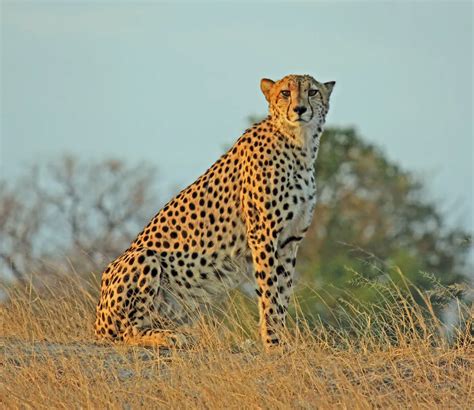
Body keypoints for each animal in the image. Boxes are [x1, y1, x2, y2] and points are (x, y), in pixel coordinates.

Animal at [94, 73, 336, 350]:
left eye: (312, 92)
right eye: (285, 92)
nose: (299, 109)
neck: (299, 145)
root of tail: (97, 324)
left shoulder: (289, 241)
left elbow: (283, 294)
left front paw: (282, 340)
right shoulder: (263, 235)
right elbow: (269, 293)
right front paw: (272, 342)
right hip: (144, 257)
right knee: (126, 333)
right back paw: (168, 337)